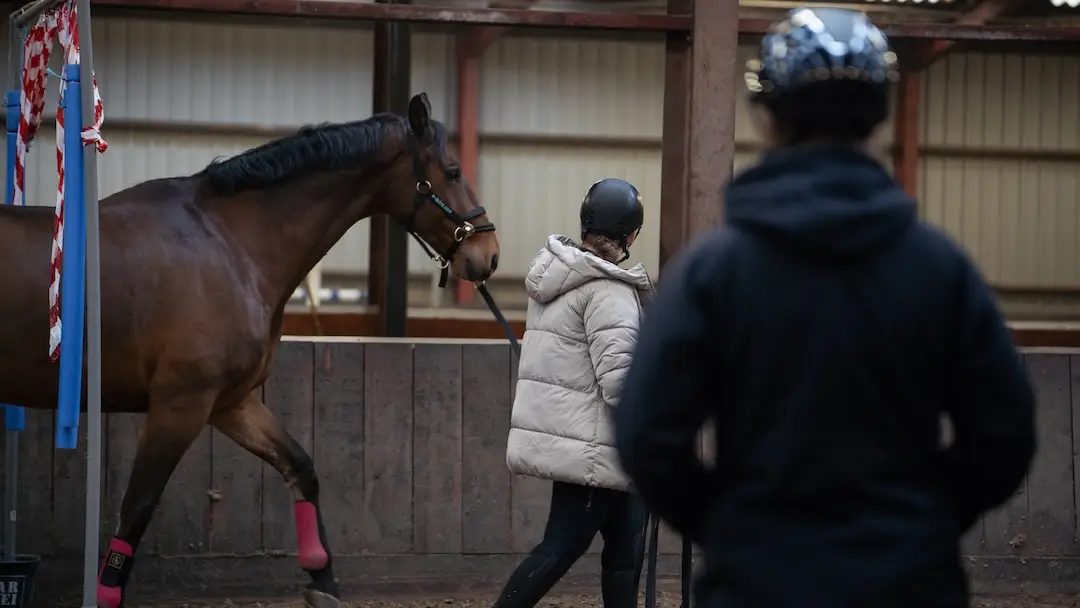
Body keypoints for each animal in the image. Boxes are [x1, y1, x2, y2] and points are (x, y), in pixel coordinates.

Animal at [0, 92, 499, 608]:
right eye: (452, 171)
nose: (488, 255)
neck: (229, 243)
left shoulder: (230, 404)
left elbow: (300, 468)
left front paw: (322, 578)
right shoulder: (180, 405)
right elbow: (137, 507)